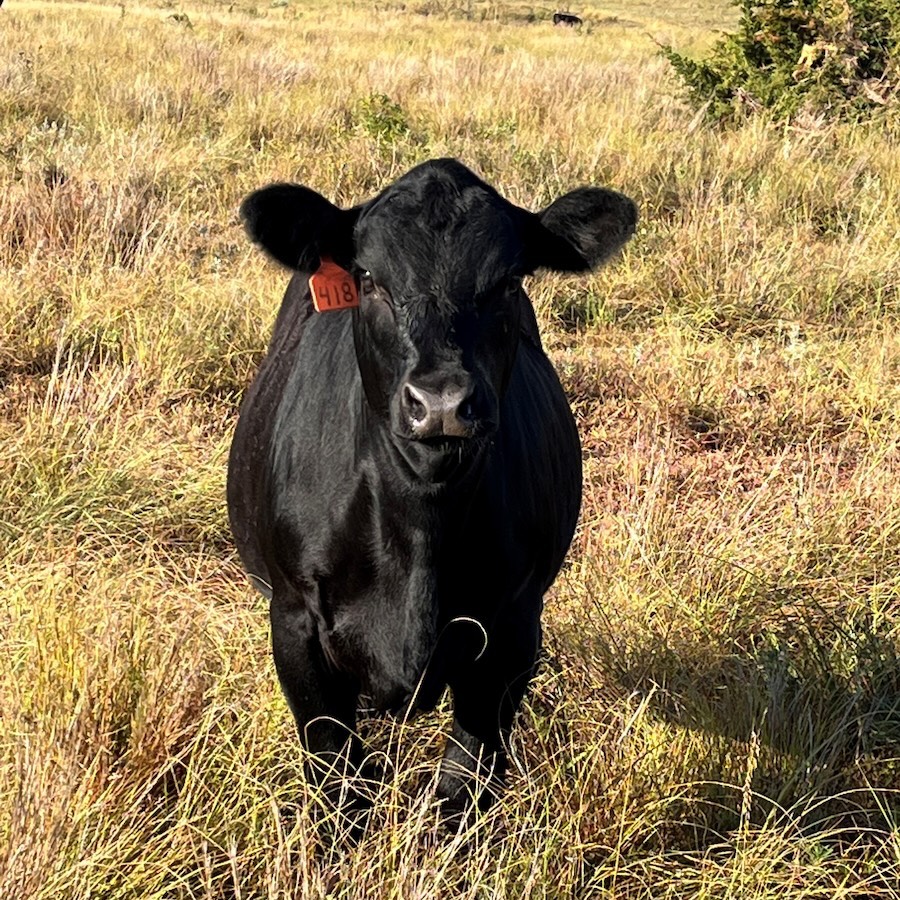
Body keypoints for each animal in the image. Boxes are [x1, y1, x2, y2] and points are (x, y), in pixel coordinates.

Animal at [230, 158, 640, 820]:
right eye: (369, 277)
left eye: (510, 281)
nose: (443, 402)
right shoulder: (294, 623)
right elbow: (338, 780)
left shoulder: (514, 627)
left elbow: (464, 784)